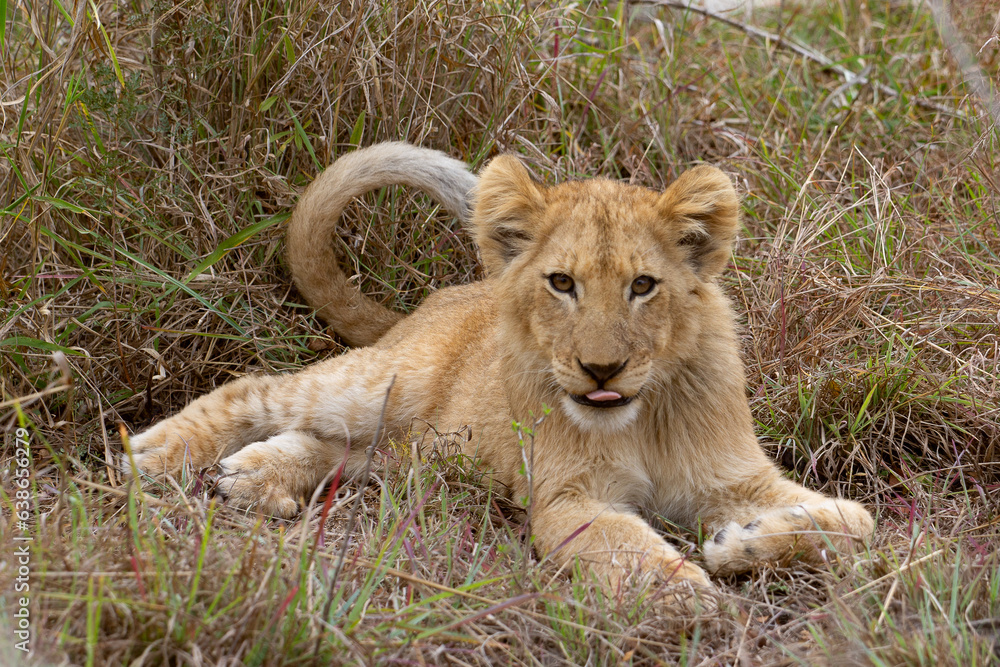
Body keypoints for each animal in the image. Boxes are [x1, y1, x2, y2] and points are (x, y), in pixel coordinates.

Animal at [123, 142, 874, 597]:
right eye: (563, 283)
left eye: (643, 286)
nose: (601, 368)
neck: (643, 418)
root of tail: (431, 302)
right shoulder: (568, 498)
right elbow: (624, 544)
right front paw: (686, 595)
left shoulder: (737, 478)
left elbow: (858, 524)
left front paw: (741, 543)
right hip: (386, 382)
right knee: (259, 389)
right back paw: (156, 453)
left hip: (421, 453)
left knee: (341, 448)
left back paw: (256, 479)